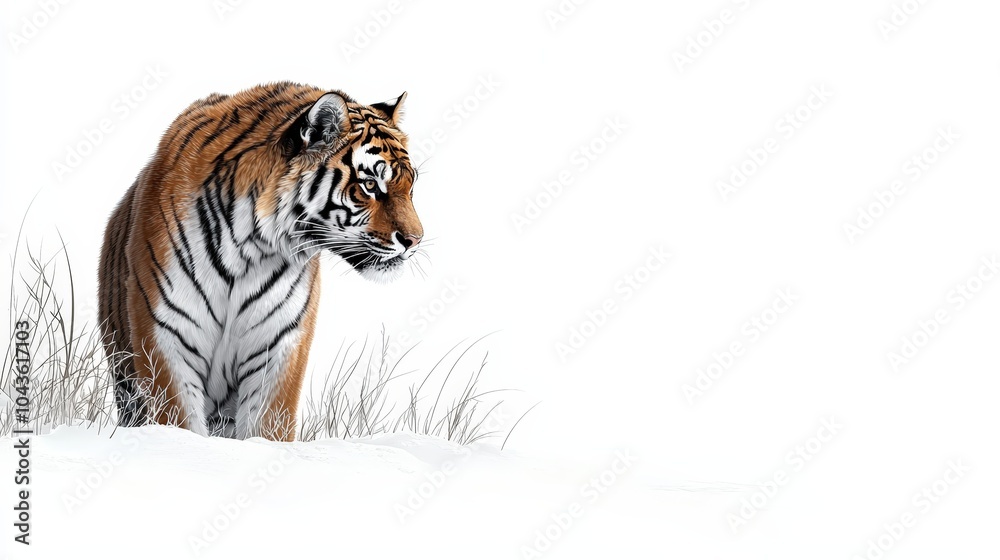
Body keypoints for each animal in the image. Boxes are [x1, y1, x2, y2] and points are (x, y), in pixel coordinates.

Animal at [98, 82, 423, 442]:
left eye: (411, 186)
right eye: (369, 186)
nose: (415, 240)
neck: (250, 249)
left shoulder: (280, 346)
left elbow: (266, 429)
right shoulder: (166, 339)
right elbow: (178, 422)